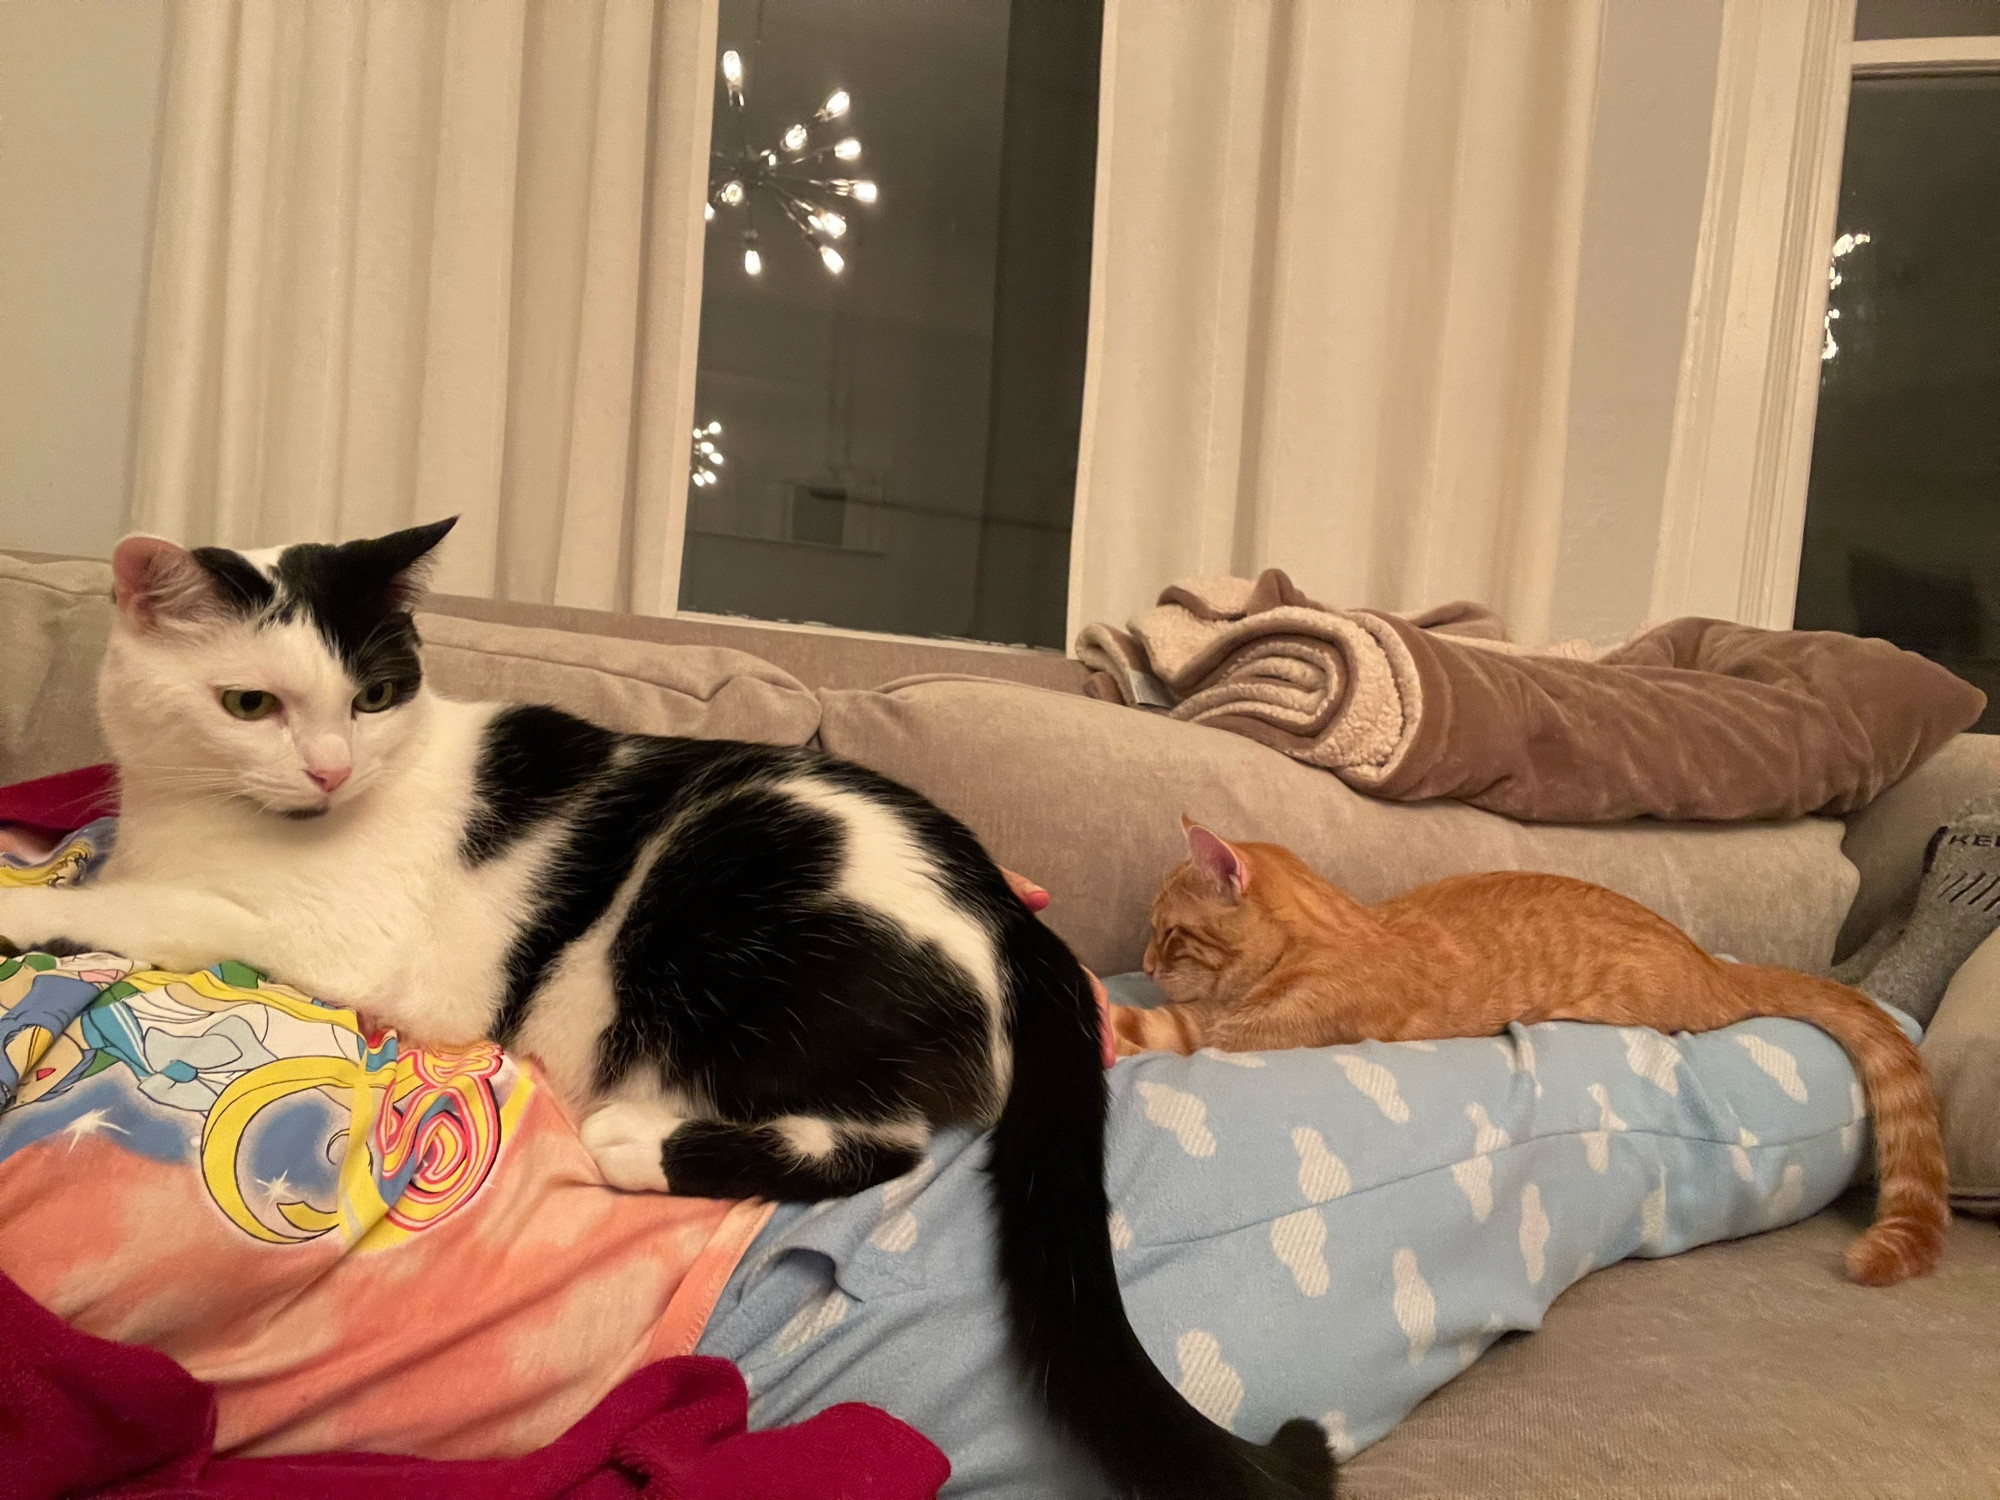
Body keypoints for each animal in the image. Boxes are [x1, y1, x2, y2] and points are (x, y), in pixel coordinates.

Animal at [3, 524, 1344, 1500]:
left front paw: (38, 910)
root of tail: (1008, 914)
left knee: (889, 1140)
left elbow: (168, 909)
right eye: (250, 705)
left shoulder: (345, 942)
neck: (209, 816)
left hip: (719, 887)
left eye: (375, 694)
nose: (332, 768)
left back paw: (638, 1143)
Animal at [1136, 824, 1944, 1296]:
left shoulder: (1246, 1030)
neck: (1342, 928)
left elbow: (1167, 1030)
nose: (1141, 963)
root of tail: (1713, 964)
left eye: (1167, 933)